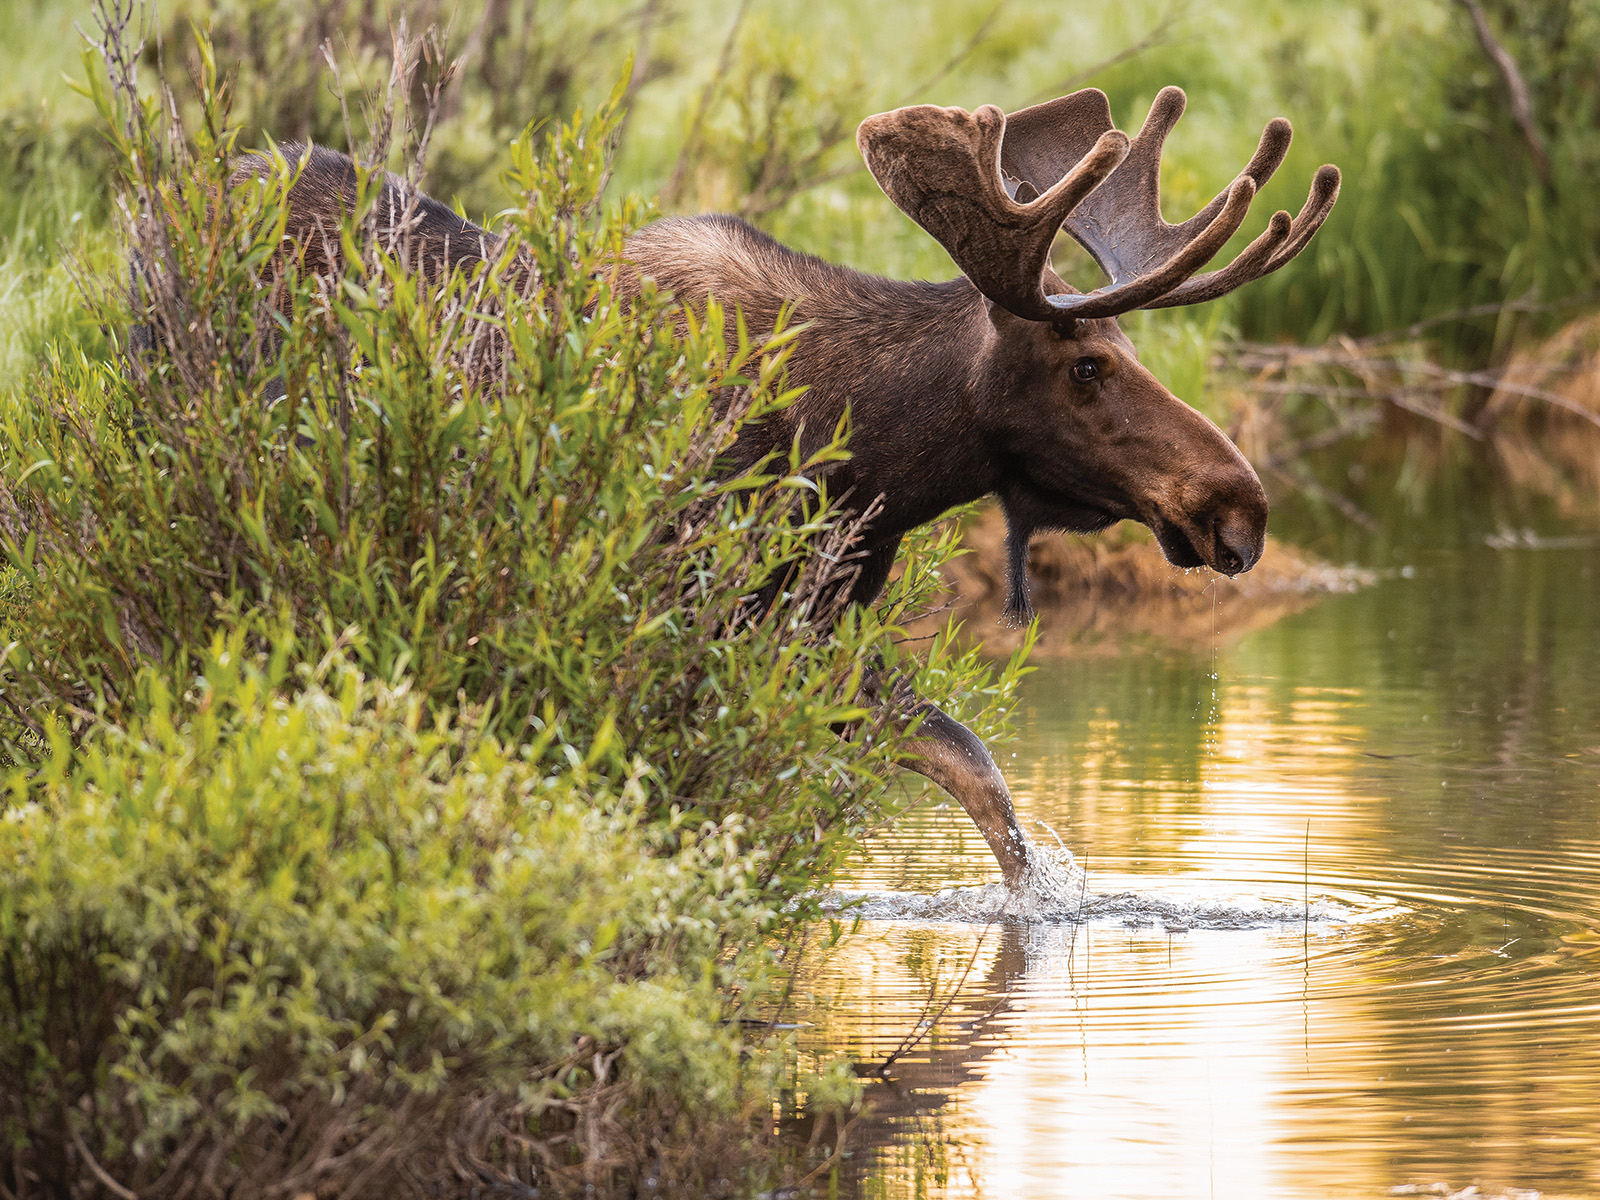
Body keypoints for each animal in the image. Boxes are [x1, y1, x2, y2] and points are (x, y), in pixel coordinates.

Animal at [234, 86, 1339, 891]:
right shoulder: (680, 608)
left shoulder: (812, 625)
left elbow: (973, 769)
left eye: (1127, 351)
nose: (1239, 507)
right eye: (1085, 366)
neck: (867, 461)